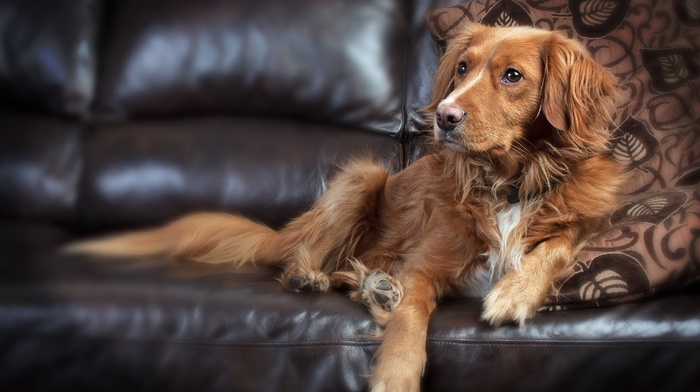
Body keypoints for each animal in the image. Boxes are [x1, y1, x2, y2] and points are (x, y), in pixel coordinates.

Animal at [68, 23, 628, 392]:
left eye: (512, 76)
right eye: (463, 68)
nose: (444, 117)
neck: (507, 183)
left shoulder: (583, 219)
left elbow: (556, 245)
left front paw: (514, 292)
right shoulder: (422, 268)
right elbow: (409, 323)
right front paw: (396, 376)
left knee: (352, 270)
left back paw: (373, 286)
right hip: (363, 177)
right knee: (314, 258)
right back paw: (317, 277)